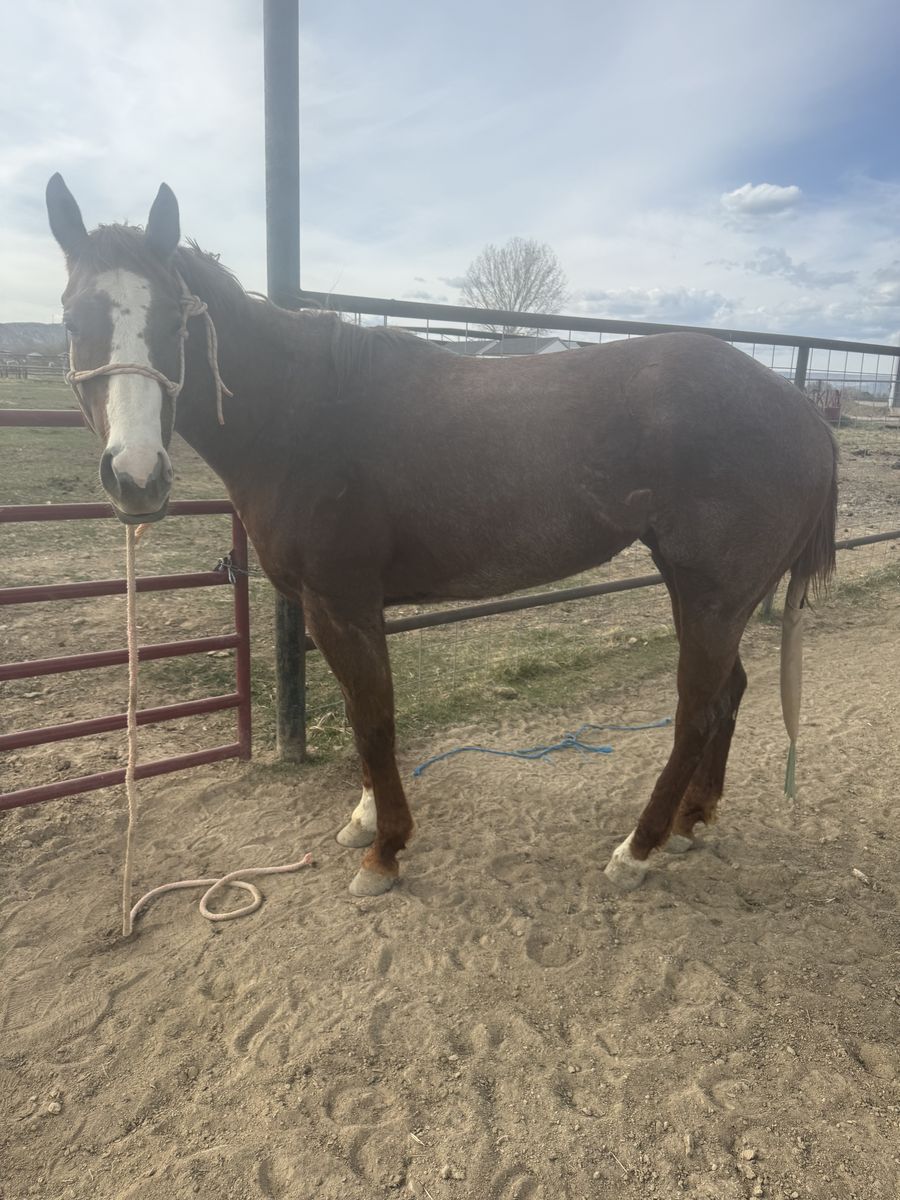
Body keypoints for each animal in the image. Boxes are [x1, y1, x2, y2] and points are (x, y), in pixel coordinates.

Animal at [45, 174, 838, 897]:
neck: (306, 416)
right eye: (72, 320)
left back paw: (636, 851)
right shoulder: (333, 611)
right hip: (702, 593)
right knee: (729, 694)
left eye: (174, 322)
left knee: (696, 711)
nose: (136, 478)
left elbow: (373, 718)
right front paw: (365, 820)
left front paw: (385, 851)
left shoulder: (343, 604)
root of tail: (800, 406)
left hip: (711, 598)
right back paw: (689, 823)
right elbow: (358, 713)